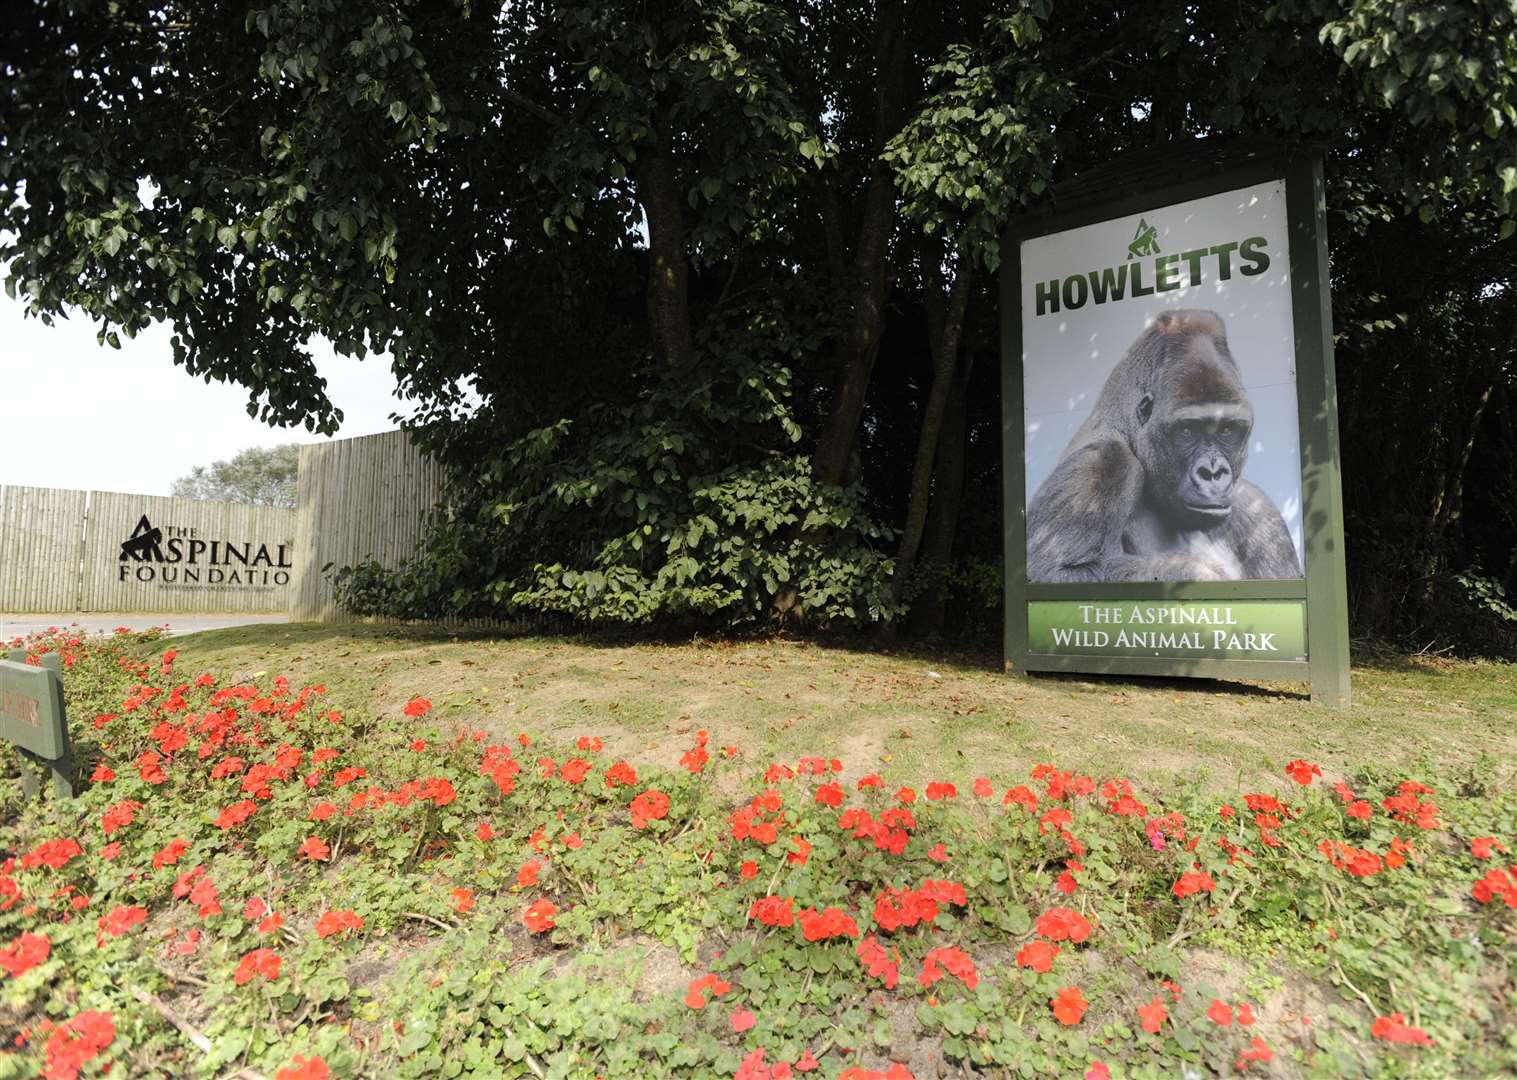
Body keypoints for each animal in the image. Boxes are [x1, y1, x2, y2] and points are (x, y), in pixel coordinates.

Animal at [1031, 307, 1304, 582]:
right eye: (1187, 431)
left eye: (1227, 430)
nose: (1213, 473)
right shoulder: (1103, 462)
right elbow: (1057, 572)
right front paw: (1200, 574)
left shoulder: (1260, 510)